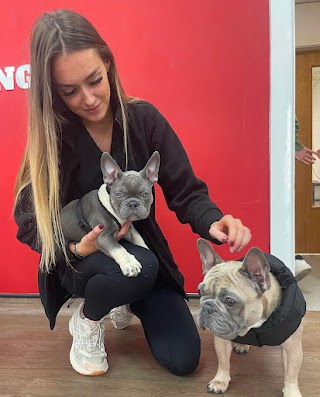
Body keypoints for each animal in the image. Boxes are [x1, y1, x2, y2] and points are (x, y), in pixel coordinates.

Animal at [196, 238, 304, 396]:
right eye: (200, 292)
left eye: (230, 301)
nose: (207, 308)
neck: (253, 327)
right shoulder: (222, 338)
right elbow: (223, 362)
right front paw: (220, 381)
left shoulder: (292, 347)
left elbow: (291, 372)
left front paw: (291, 392)